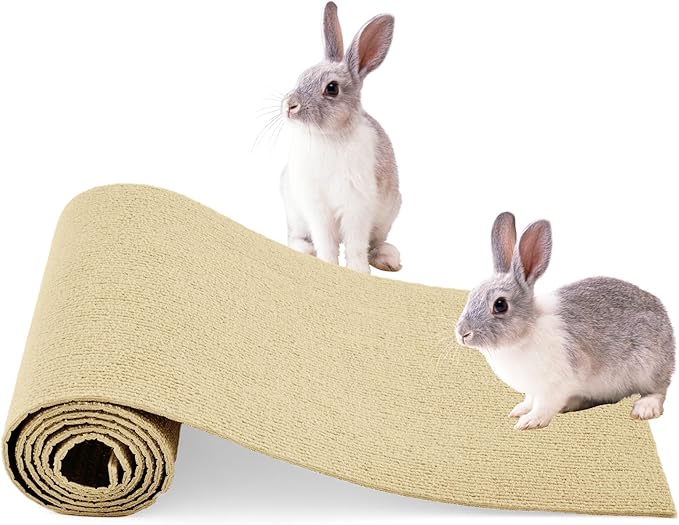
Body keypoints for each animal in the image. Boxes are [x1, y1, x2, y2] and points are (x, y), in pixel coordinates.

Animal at [279, 2, 401, 274]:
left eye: (332, 88)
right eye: (301, 77)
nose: (289, 106)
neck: (329, 136)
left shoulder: (358, 205)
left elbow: (355, 244)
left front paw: (358, 271)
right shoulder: (317, 206)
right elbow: (325, 239)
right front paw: (327, 263)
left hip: (387, 216)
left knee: (375, 242)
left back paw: (388, 259)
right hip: (294, 211)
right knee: (296, 236)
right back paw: (305, 251)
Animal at [455, 212, 675, 430]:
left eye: (500, 304)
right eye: (472, 295)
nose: (462, 333)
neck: (527, 331)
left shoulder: (554, 385)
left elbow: (544, 405)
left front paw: (529, 421)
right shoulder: (533, 389)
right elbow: (529, 400)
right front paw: (519, 410)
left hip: (649, 368)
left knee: (658, 390)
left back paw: (644, 408)